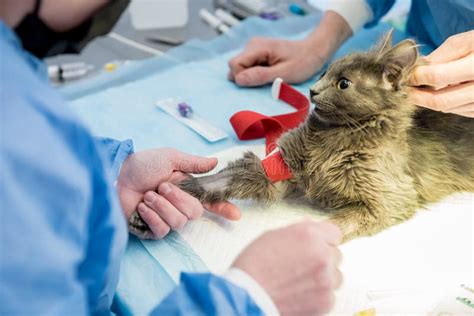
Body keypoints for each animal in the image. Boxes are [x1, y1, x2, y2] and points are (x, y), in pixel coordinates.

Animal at [128, 30, 474, 241]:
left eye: (343, 83)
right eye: (323, 73)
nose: (312, 91)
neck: (335, 143)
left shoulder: (390, 199)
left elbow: (337, 224)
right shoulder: (278, 168)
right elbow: (217, 180)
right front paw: (157, 204)